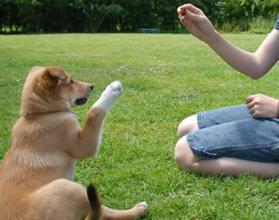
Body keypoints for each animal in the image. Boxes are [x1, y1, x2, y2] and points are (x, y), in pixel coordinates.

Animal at [0, 66, 149, 220]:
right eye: (71, 81)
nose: (91, 86)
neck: (42, 114)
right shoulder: (83, 145)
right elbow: (93, 113)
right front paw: (111, 90)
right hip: (68, 187)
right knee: (105, 212)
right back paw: (139, 209)